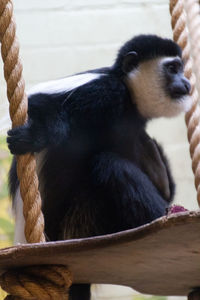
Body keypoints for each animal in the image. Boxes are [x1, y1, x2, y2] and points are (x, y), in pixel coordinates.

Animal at [7, 35, 191, 300]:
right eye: (173, 68)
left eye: (181, 69)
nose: (186, 82)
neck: (129, 103)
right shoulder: (105, 89)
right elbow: (38, 101)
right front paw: (34, 136)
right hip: (80, 224)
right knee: (108, 164)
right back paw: (167, 216)